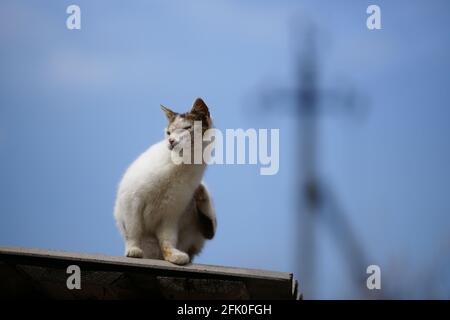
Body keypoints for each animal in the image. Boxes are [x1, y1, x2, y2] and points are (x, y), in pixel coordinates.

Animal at [114, 97, 216, 264]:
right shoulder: (131, 200)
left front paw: (173, 254)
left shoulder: (170, 215)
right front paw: (133, 249)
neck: (182, 164)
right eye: (168, 132)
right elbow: (133, 228)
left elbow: (167, 239)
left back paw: (201, 194)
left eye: (187, 128)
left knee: (210, 231)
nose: (171, 141)